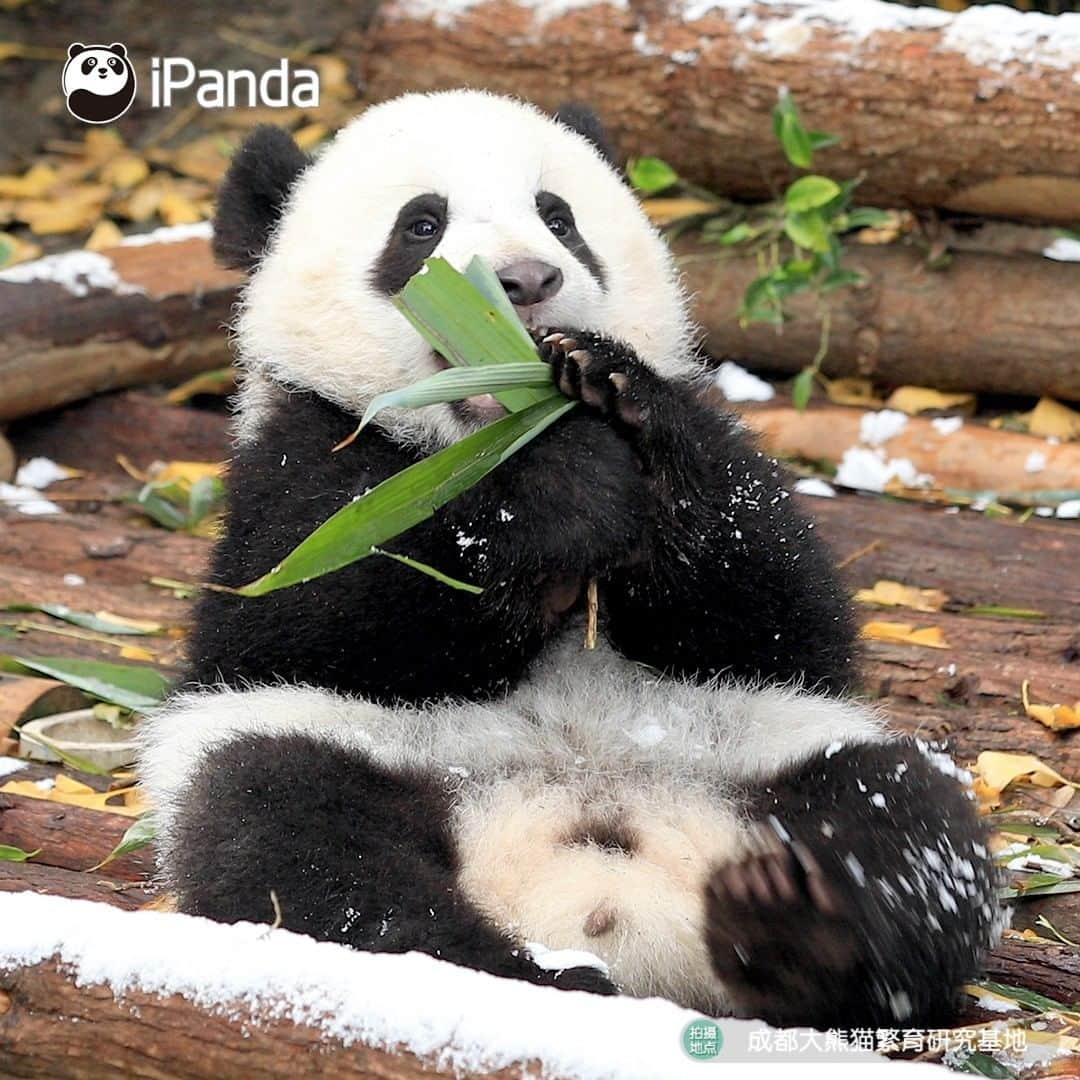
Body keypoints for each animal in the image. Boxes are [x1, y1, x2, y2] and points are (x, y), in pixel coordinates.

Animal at [137, 92, 1002, 1028]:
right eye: (421, 225)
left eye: (559, 217)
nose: (523, 281)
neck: (486, 432)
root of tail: (610, 908)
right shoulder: (295, 454)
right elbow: (308, 611)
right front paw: (566, 482)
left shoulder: (733, 467)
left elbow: (778, 612)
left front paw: (618, 398)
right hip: (353, 754)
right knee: (290, 832)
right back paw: (513, 973)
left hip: (769, 761)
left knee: (903, 813)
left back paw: (796, 921)